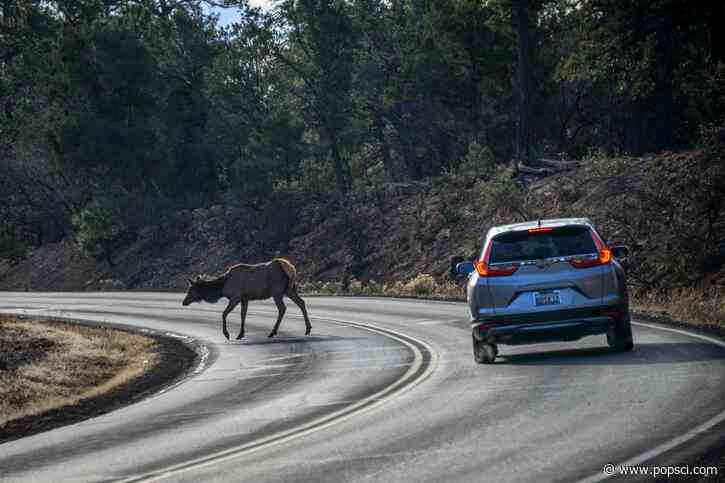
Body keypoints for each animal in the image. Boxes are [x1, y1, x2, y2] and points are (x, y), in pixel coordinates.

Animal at [181, 258, 311, 340]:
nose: (184, 302)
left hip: (277, 291)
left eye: (190, 289)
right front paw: (240, 334)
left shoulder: (236, 297)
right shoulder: (245, 298)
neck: (222, 288)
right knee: (301, 302)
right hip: (289, 290)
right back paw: (308, 329)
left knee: (282, 308)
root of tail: (291, 269)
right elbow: (243, 315)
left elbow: (224, 313)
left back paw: (272, 332)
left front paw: (227, 334)